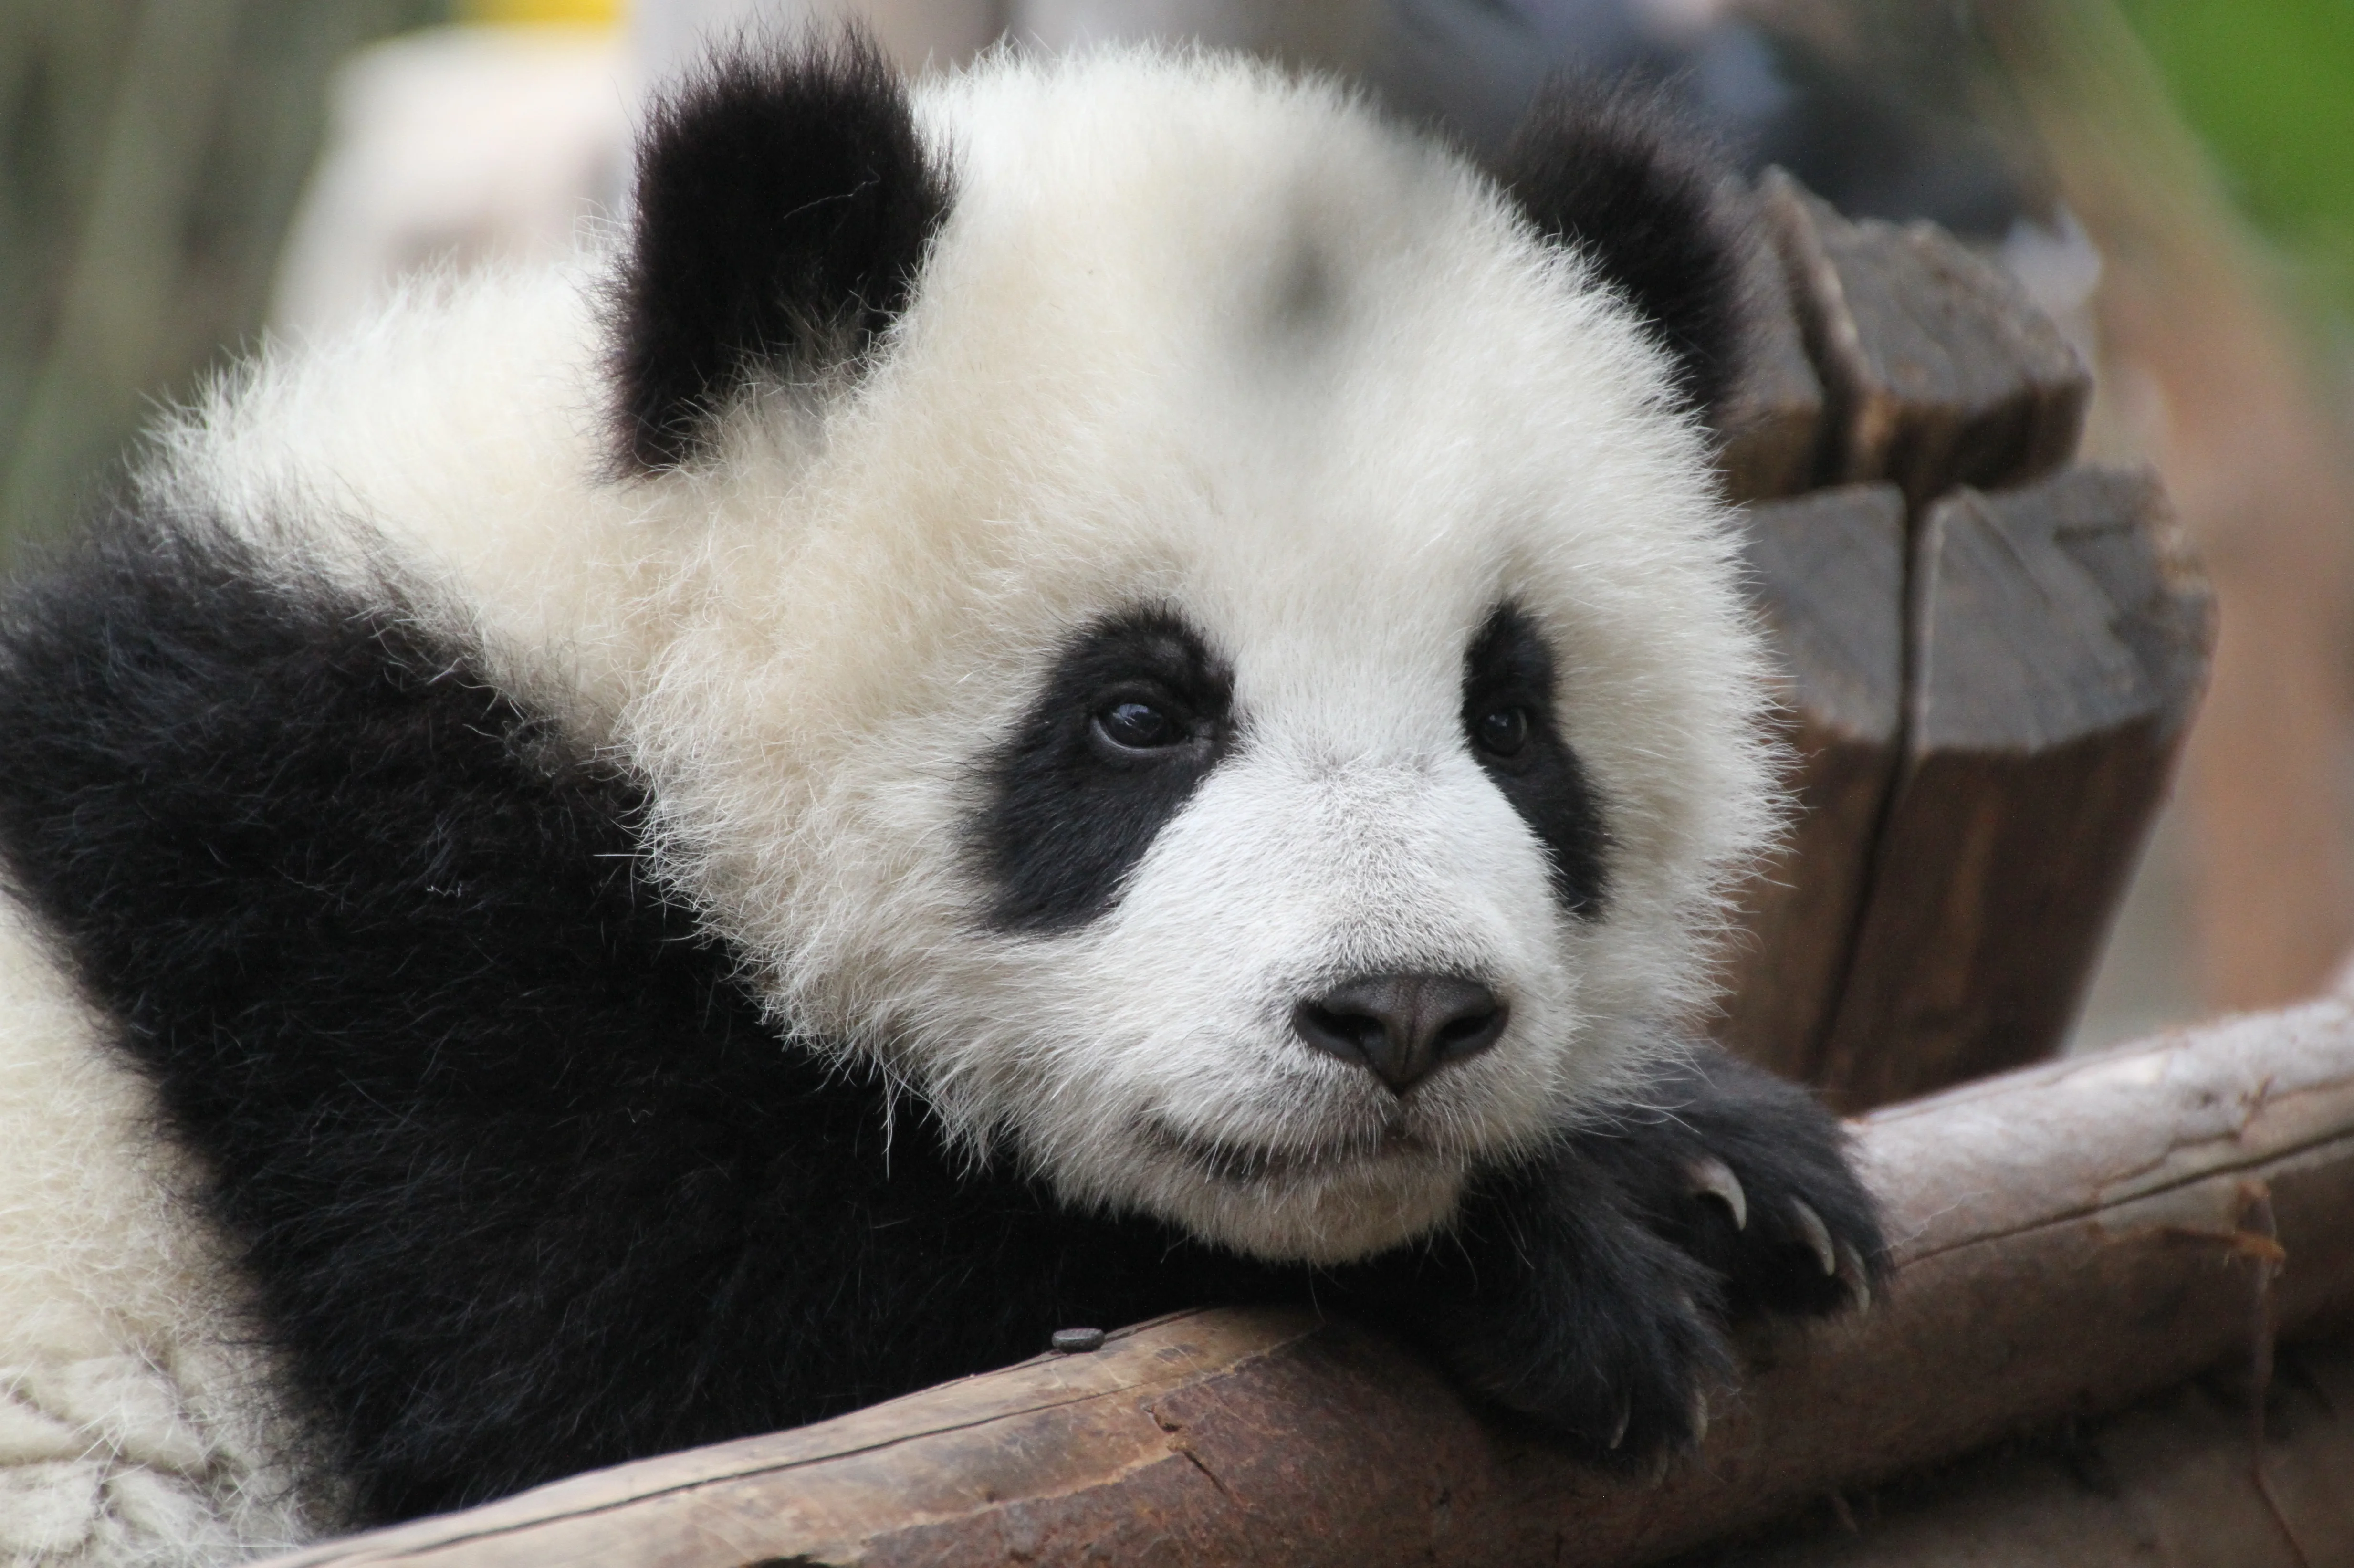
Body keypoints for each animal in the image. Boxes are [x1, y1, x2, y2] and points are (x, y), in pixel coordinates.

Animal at [0, 36, 1884, 1566]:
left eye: (1509, 714)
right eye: (1137, 713)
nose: (1403, 1013)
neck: (600, 645)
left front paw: (1723, 1156)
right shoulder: (365, 927)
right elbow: (655, 1360)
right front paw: (1563, 1262)